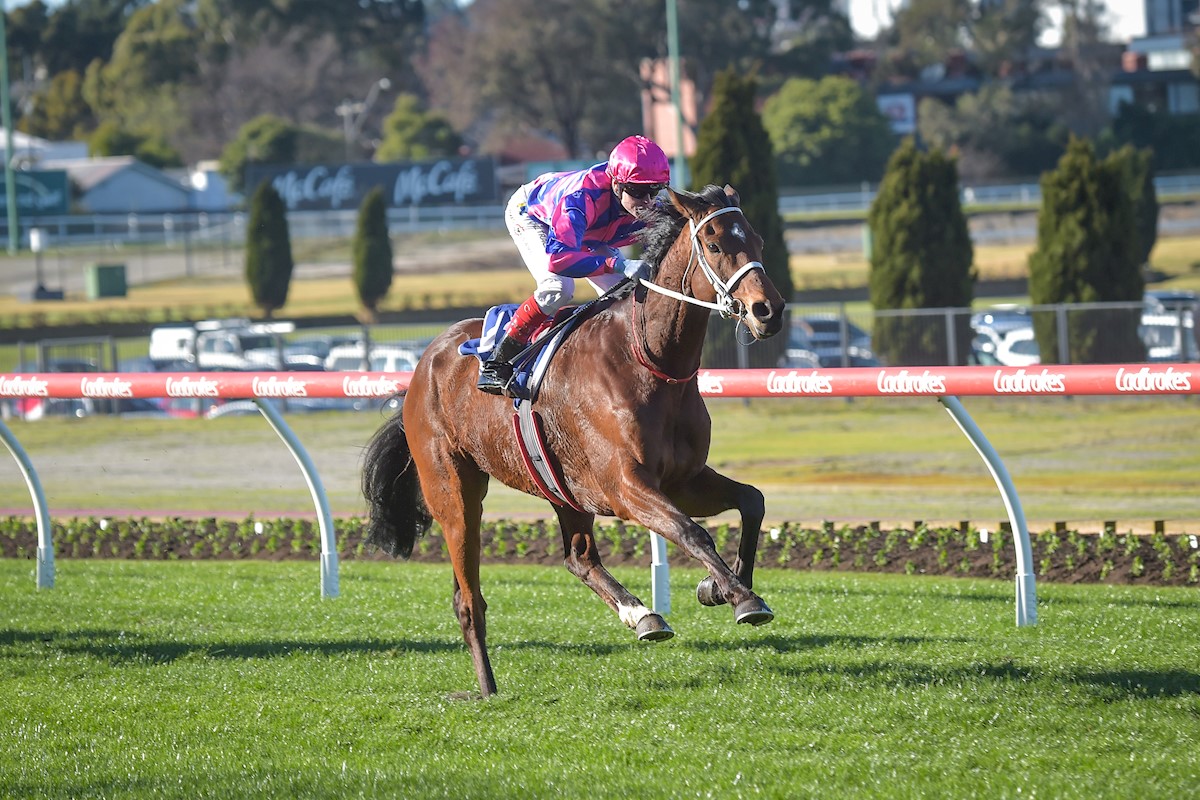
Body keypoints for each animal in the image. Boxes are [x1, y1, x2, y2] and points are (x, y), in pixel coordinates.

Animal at [362, 184, 787, 695]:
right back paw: (488, 689)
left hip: (561, 486)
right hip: (454, 491)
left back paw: (643, 616)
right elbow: (691, 530)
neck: (648, 359)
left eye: (757, 239)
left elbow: (752, 501)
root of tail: (425, 362)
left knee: (579, 558)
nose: (769, 311)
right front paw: (742, 598)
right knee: (468, 599)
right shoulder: (624, 485)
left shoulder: (683, 478)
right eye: (715, 244)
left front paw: (717, 587)